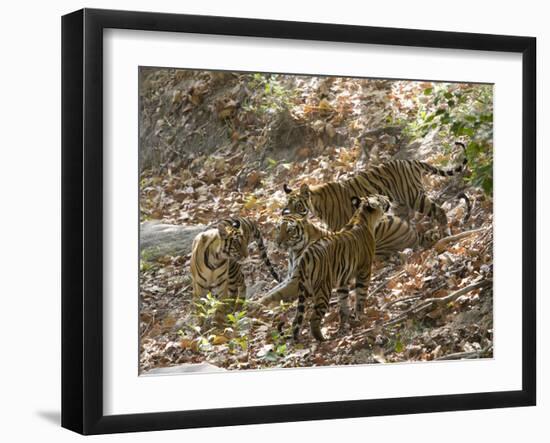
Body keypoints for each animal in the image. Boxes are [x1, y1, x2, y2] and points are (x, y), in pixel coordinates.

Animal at [268, 195, 390, 344]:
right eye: (380, 198)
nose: (387, 197)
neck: (362, 217)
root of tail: (306, 256)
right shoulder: (364, 271)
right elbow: (361, 296)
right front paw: (360, 316)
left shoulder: (343, 279)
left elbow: (343, 302)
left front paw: (346, 322)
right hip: (323, 289)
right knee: (313, 318)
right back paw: (322, 339)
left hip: (305, 288)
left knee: (296, 319)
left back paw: (296, 339)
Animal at [284, 142, 470, 232]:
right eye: (287, 206)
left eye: (297, 205)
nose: (289, 216)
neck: (315, 206)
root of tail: (410, 161)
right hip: (399, 204)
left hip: (414, 197)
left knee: (439, 211)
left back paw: (445, 232)